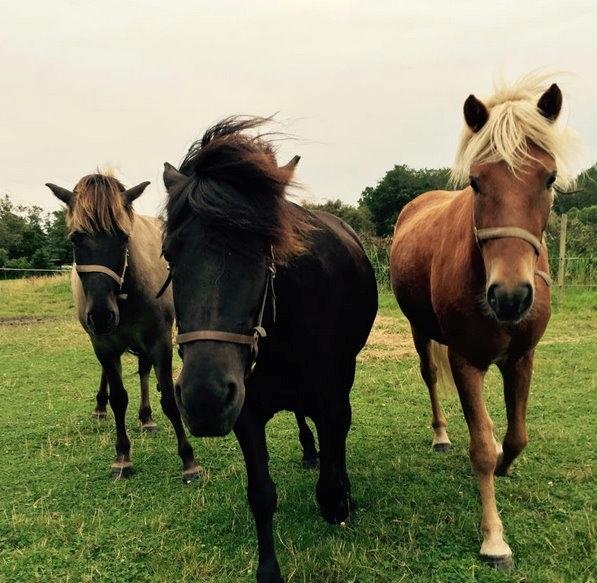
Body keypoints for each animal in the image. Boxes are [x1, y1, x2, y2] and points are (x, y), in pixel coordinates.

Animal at [46, 171, 200, 482]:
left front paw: (188, 460)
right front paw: (122, 457)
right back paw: (100, 407)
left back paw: (146, 417)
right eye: (76, 238)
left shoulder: (159, 340)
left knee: (144, 371)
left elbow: (168, 398)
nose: (101, 315)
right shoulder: (103, 345)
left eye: (123, 237)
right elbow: (119, 398)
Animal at [162, 118, 378, 583]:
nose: (204, 399)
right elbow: (261, 494)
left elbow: (332, 476)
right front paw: (268, 570)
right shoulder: (245, 412)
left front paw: (341, 499)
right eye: (169, 254)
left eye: (264, 250)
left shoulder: (332, 397)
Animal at [388, 73, 576, 572]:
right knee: (431, 378)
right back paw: (440, 435)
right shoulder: (466, 360)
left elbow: (516, 436)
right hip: (422, 335)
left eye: (549, 178)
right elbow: (481, 451)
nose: (509, 297)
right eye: (475, 181)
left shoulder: (521, 358)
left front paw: (507, 461)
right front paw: (494, 539)